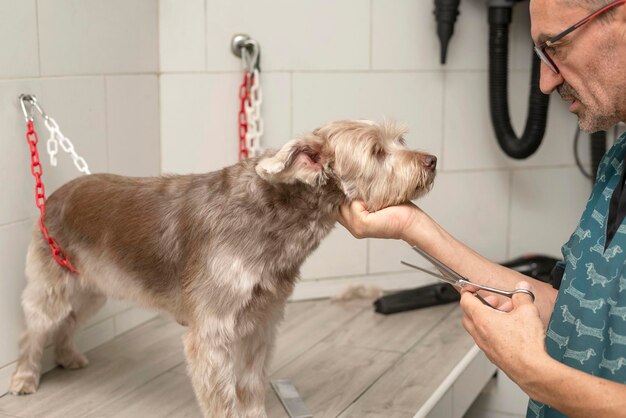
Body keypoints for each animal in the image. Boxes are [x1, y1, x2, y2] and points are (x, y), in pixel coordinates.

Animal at [8, 119, 434, 416]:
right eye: (377, 151)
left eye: (400, 141)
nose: (431, 160)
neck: (274, 218)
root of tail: (53, 197)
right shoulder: (212, 333)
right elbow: (222, 396)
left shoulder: (260, 324)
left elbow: (251, 384)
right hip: (53, 283)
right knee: (35, 329)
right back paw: (24, 378)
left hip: (91, 288)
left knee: (70, 321)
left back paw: (68, 356)